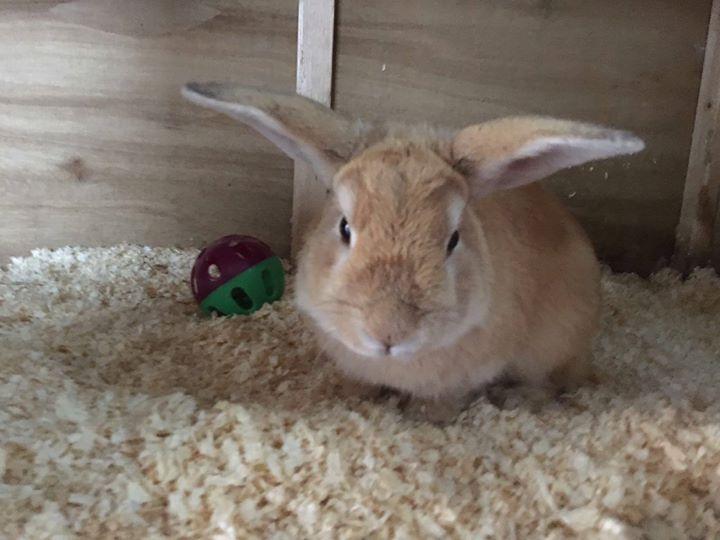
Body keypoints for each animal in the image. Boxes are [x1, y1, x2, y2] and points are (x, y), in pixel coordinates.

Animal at [182, 82, 644, 423]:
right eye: (344, 227)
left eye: (453, 240)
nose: (388, 332)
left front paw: (426, 418)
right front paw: (354, 402)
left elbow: (442, 400)